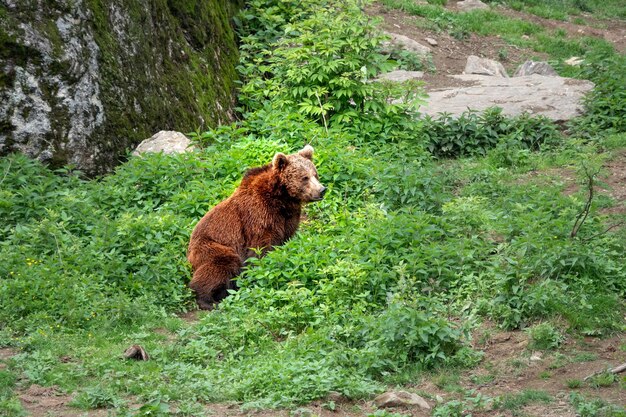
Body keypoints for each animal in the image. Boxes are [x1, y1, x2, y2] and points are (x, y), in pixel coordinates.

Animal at [185, 145, 324, 308]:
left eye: (315, 174)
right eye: (304, 177)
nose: (322, 190)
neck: (282, 199)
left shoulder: (288, 219)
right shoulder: (258, 217)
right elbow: (261, 248)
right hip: (211, 246)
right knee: (220, 265)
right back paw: (207, 300)